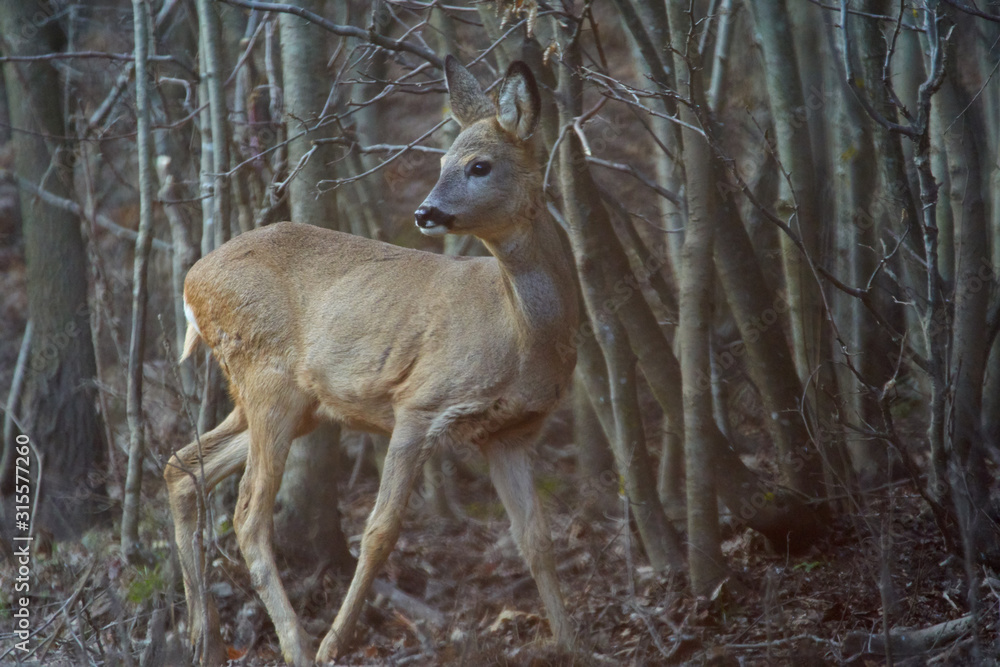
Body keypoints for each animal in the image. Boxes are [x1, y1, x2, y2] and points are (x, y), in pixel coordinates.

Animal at [164, 56, 579, 665]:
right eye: (441, 161)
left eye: (479, 165)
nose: (426, 211)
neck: (524, 335)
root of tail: (191, 282)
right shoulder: (420, 404)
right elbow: (380, 532)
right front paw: (336, 643)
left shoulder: (510, 433)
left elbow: (537, 541)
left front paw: (577, 643)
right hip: (267, 379)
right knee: (247, 517)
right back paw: (297, 645)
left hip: (293, 402)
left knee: (183, 467)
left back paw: (205, 640)